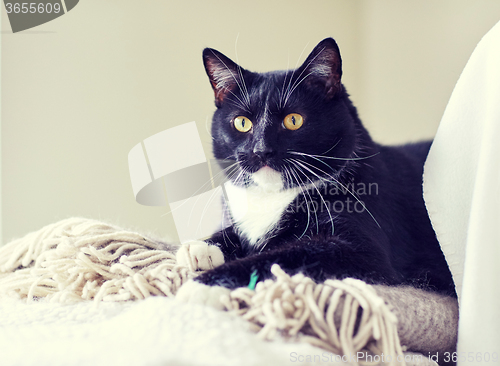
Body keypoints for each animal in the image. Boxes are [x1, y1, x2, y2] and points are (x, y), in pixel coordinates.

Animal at [176, 37, 458, 302]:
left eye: (294, 120)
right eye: (242, 123)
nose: (261, 150)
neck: (273, 195)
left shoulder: (359, 249)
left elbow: (279, 257)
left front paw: (201, 286)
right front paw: (200, 247)